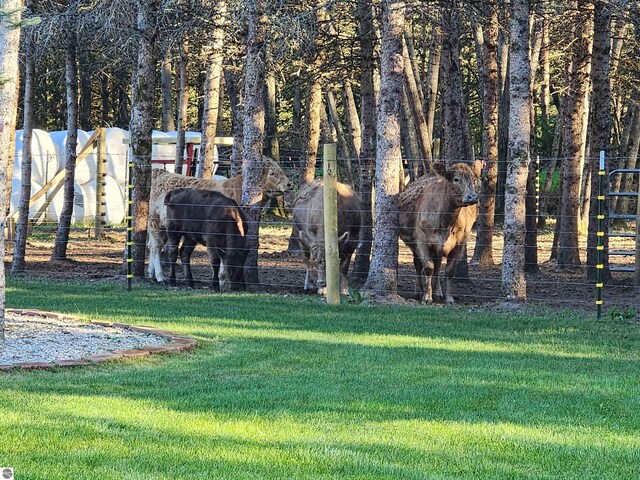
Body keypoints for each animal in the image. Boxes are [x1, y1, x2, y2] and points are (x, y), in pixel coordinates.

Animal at [148, 156, 290, 284]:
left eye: (281, 170)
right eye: (272, 173)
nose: (289, 184)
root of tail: (161, 173)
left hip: (165, 227)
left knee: (156, 246)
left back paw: (151, 273)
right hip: (155, 222)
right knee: (155, 247)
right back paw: (160, 276)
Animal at [398, 160, 482, 304]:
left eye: (473, 179)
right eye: (456, 179)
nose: (472, 197)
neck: (447, 223)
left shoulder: (459, 244)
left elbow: (449, 271)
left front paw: (449, 298)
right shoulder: (422, 241)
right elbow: (428, 268)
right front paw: (426, 297)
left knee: (437, 267)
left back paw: (438, 293)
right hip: (415, 245)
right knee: (418, 265)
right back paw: (418, 291)